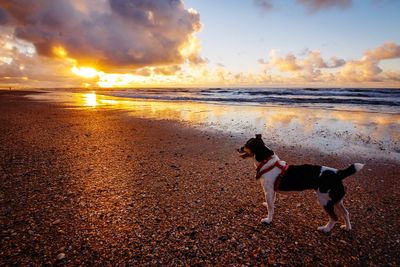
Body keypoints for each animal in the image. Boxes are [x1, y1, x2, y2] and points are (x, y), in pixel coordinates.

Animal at [238, 134, 366, 232]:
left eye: (247, 144)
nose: (238, 148)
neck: (267, 161)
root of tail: (338, 173)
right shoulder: (272, 192)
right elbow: (271, 204)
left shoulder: (268, 192)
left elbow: (270, 208)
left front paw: (268, 220)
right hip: (336, 199)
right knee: (346, 213)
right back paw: (347, 227)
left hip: (324, 200)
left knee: (334, 217)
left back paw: (326, 229)